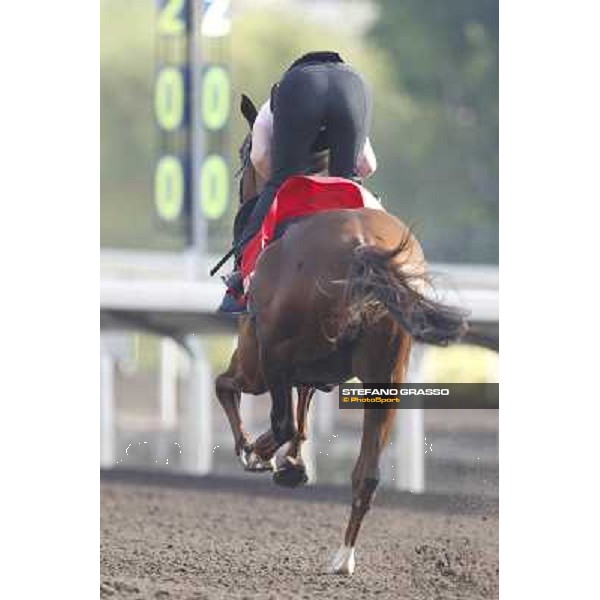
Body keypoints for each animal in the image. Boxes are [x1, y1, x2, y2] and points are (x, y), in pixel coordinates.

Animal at [213, 95, 466, 576]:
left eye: (243, 151)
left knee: (279, 418)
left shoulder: (255, 364)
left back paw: (269, 459)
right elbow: (304, 406)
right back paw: (343, 556)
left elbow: (228, 389)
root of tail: (360, 247)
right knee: (367, 473)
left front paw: (258, 453)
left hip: (273, 355)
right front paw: (289, 459)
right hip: (386, 379)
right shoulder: (314, 368)